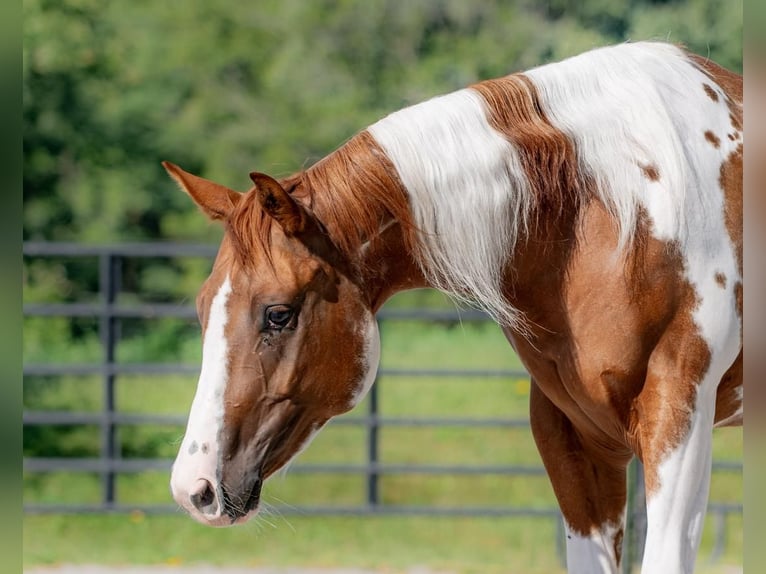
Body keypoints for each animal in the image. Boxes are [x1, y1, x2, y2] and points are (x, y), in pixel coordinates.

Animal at [164, 41, 744, 574]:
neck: (617, 211)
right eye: (202, 310)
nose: (194, 488)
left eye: (278, 314)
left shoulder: (677, 423)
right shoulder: (577, 441)